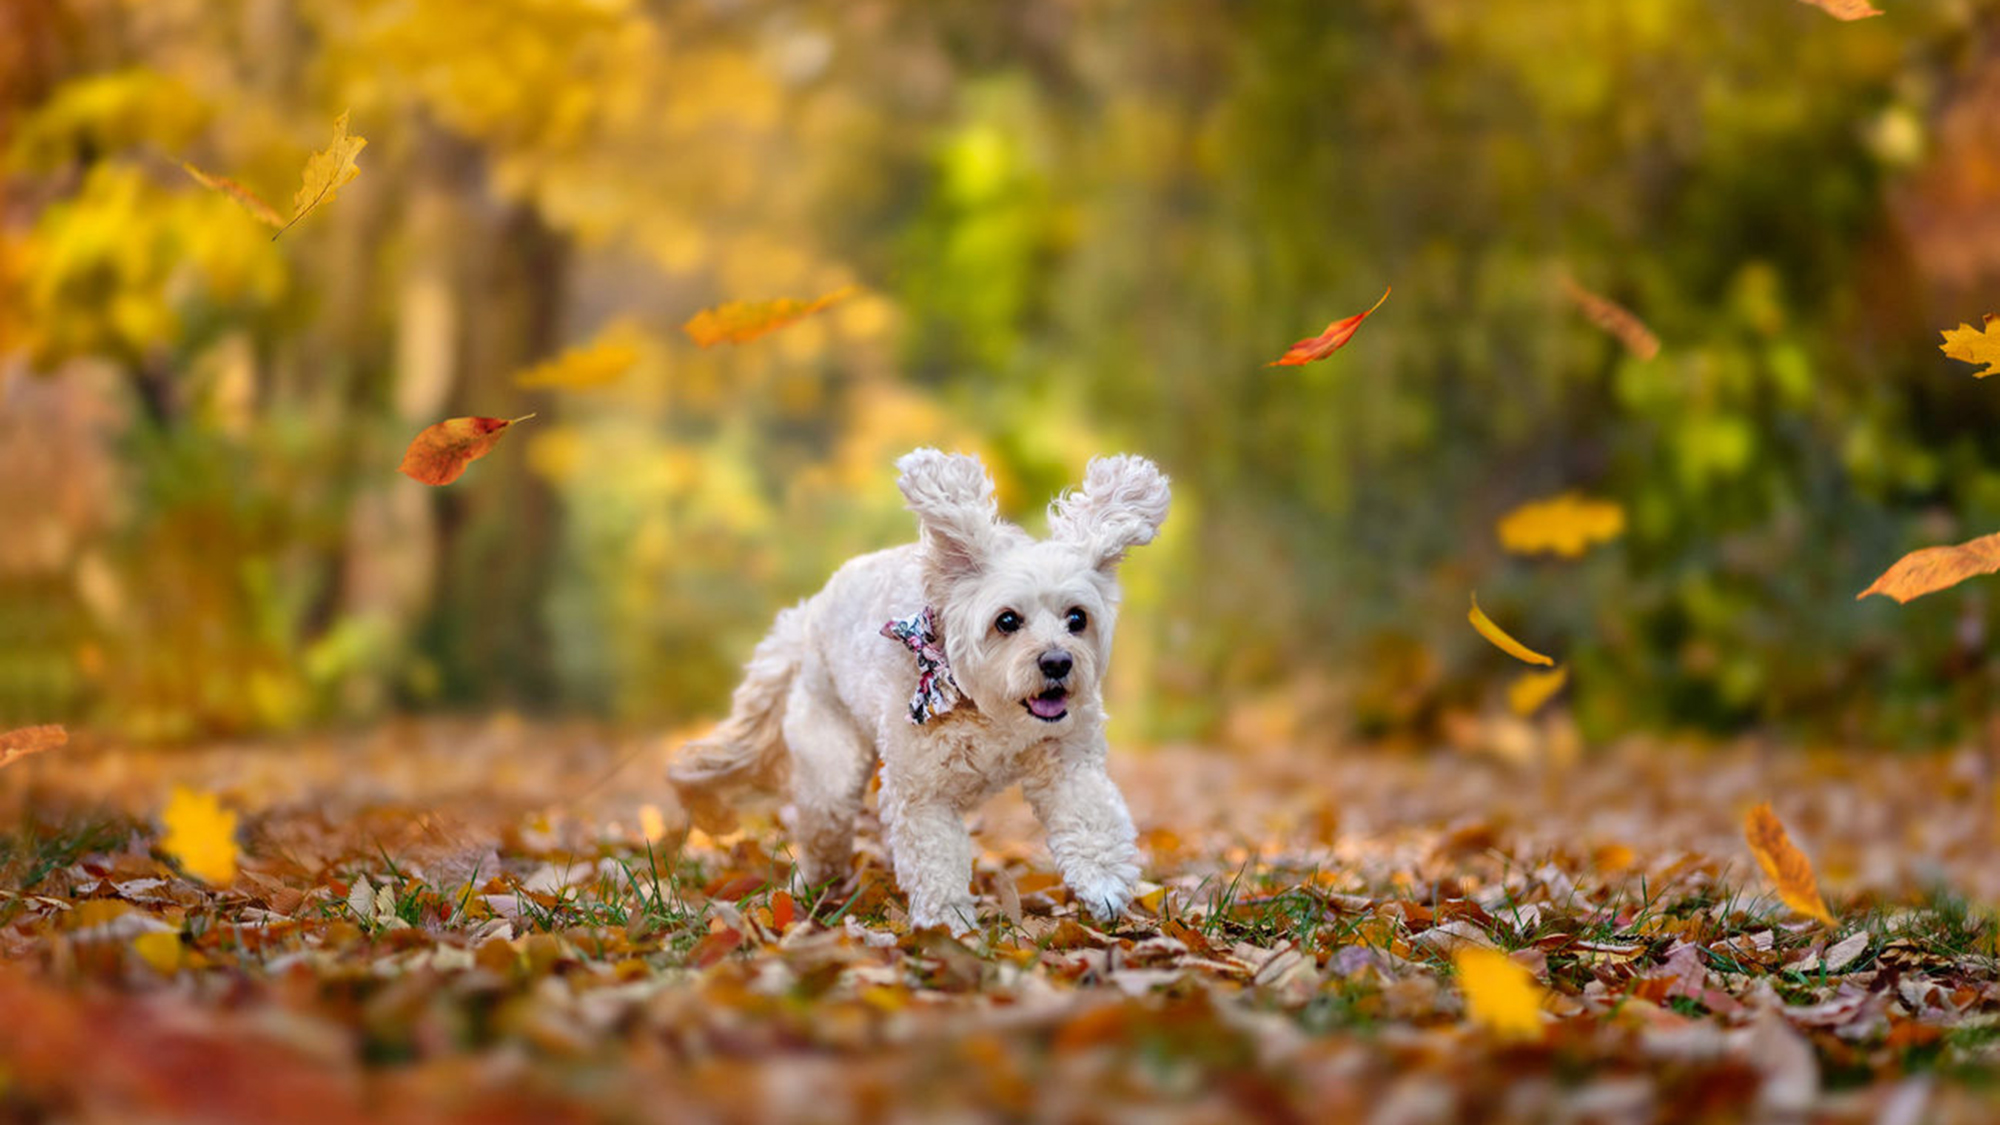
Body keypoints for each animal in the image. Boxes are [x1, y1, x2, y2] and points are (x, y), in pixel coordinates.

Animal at [672, 446, 1168, 928]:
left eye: (1077, 618)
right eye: (1007, 620)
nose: (1058, 662)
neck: (988, 710)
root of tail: (809, 614)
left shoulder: (1067, 759)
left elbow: (1090, 815)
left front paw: (1104, 885)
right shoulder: (922, 794)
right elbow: (936, 862)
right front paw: (949, 925)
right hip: (829, 773)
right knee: (823, 834)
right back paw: (812, 890)